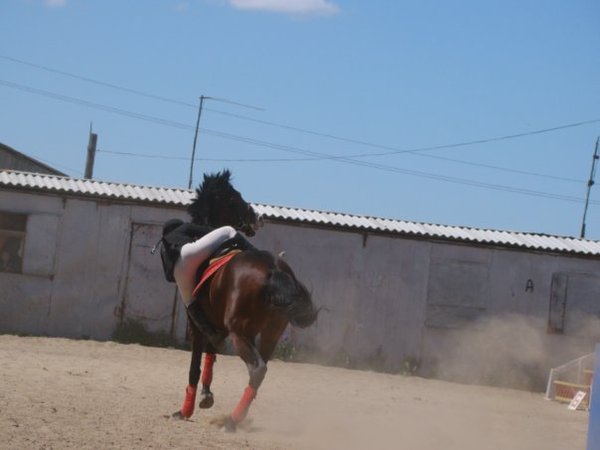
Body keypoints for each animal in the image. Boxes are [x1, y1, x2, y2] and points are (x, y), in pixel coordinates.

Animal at [171, 171, 318, 430]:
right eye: (233, 198)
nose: (258, 218)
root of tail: (273, 269)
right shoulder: (215, 327)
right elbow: (210, 357)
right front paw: (206, 396)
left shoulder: (197, 327)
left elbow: (195, 367)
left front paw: (185, 410)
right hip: (270, 334)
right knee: (260, 372)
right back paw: (236, 416)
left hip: (240, 333)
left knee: (257, 369)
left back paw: (231, 420)